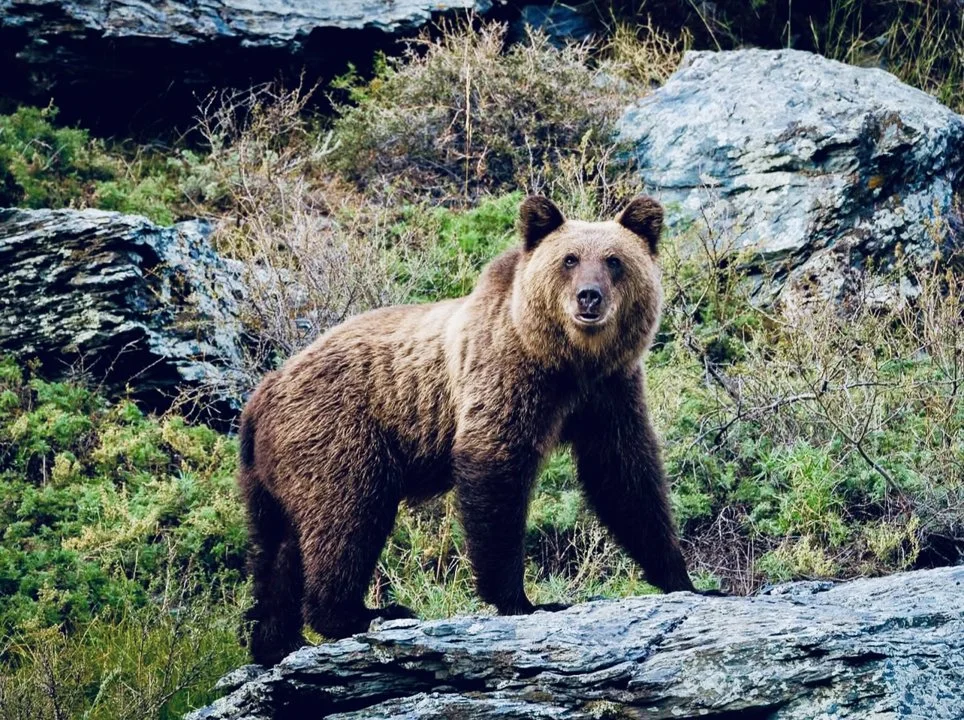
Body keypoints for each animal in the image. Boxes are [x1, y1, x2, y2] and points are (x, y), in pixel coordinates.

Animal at [238, 195, 696, 665]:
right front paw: (523, 599)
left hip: (271, 476)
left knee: (276, 550)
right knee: (347, 516)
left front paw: (682, 578)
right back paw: (359, 614)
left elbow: (625, 475)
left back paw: (274, 640)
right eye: (569, 259)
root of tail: (259, 399)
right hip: (338, 432)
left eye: (614, 260)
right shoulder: (506, 374)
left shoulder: (609, 393)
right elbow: (497, 470)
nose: (589, 297)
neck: (568, 363)